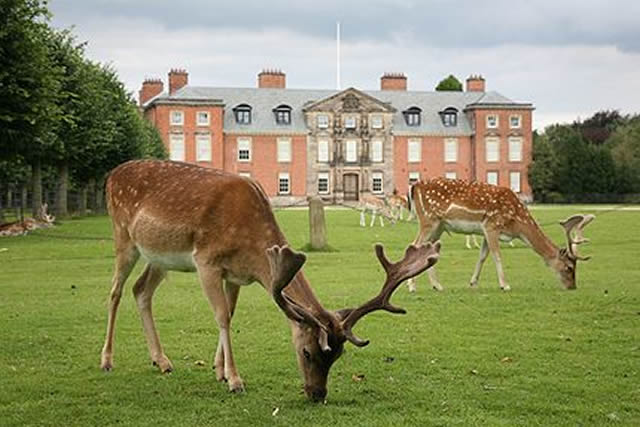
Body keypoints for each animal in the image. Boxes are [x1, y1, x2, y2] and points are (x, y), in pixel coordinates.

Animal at [101, 160, 440, 402]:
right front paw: (235, 380)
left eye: (339, 355)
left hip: (159, 257)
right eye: (307, 352)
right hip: (123, 236)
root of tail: (111, 175)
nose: (318, 395)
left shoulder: (235, 275)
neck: (252, 250)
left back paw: (161, 360)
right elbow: (222, 317)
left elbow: (230, 314)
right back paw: (107, 360)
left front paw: (219, 370)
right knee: (115, 291)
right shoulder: (206, 262)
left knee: (141, 291)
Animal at [406, 177, 594, 292]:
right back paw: (412, 286)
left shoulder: (485, 230)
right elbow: (497, 255)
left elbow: (482, 256)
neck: (516, 224)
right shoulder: (492, 225)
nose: (572, 286)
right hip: (429, 220)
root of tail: (415, 186)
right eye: (569, 267)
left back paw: (437, 285)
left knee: (428, 249)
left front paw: (473, 283)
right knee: (415, 245)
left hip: (439, 226)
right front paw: (505, 285)